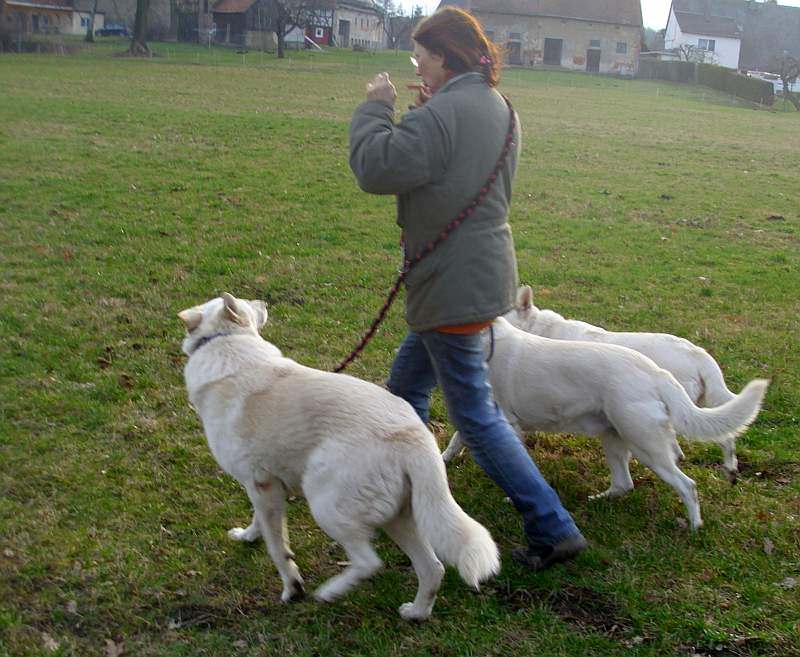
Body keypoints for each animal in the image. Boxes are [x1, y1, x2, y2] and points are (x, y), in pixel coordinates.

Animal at [444, 316, 768, 532]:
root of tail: (656, 373)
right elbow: (457, 440)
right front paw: (445, 460)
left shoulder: (505, 423)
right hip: (614, 438)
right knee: (625, 484)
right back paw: (597, 500)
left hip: (645, 445)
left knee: (686, 484)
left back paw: (694, 526)